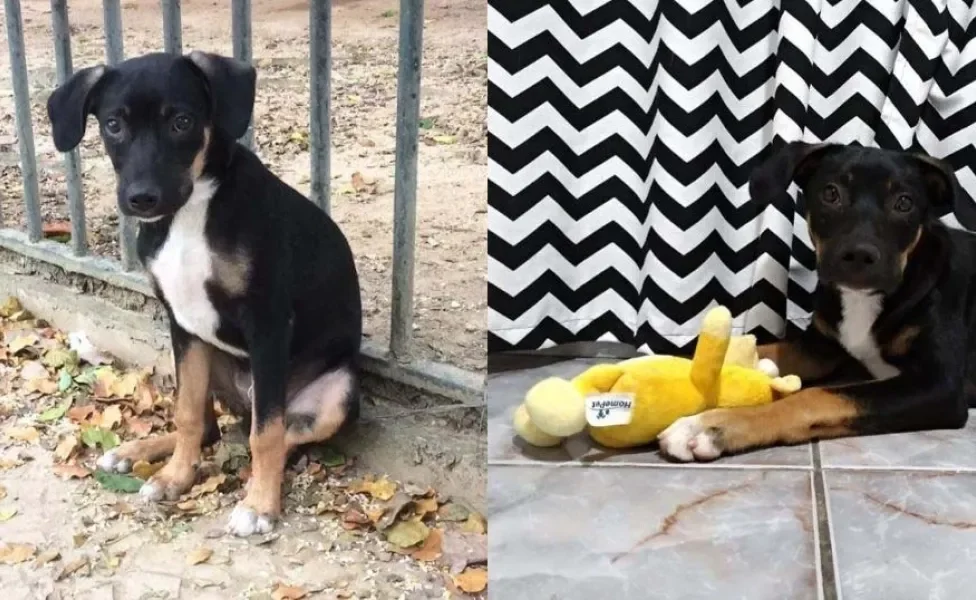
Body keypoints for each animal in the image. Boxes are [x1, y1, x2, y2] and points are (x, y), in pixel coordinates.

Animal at [47, 52, 364, 540]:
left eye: (182, 121)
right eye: (113, 125)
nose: (142, 198)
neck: (191, 211)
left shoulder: (268, 325)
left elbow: (266, 434)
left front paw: (260, 504)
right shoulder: (182, 325)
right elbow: (188, 414)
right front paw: (177, 478)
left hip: (337, 392)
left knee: (273, 431)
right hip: (203, 354)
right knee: (211, 425)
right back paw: (141, 453)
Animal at [656, 143, 976, 462]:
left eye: (904, 203)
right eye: (831, 193)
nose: (859, 255)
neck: (863, 299)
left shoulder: (940, 386)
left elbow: (814, 396)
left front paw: (711, 425)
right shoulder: (818, 347)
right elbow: (761, 350)